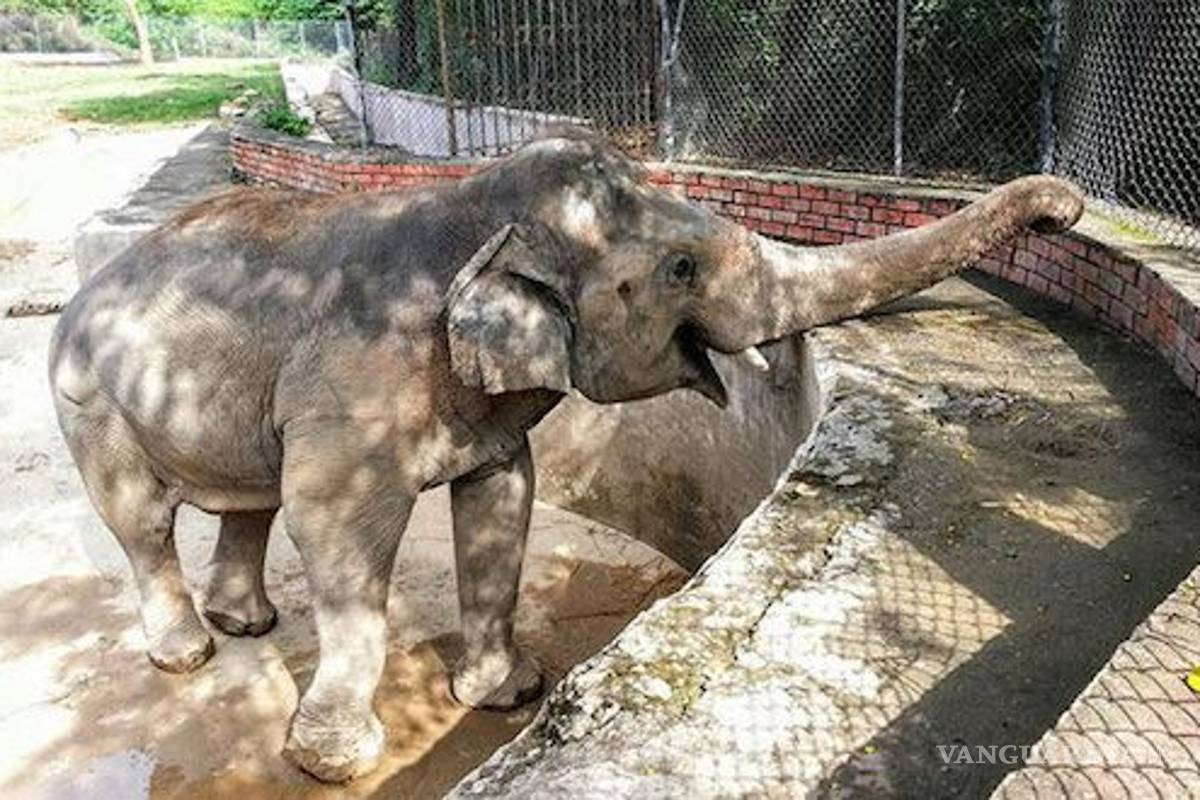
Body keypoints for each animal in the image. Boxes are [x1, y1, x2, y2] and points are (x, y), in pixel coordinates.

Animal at [48, 128, 1083, 783]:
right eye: (680, 269)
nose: (1066, 211)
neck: (475, 206)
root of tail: (85, 280)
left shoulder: (482, 413)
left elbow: (502, 498)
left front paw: (509, 695)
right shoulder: (355, 386)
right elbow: (335, 524)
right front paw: (335, 763)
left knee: (247, 502)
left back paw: (248, 625)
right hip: (85, 396)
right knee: (144, 521)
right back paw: (187, 655)